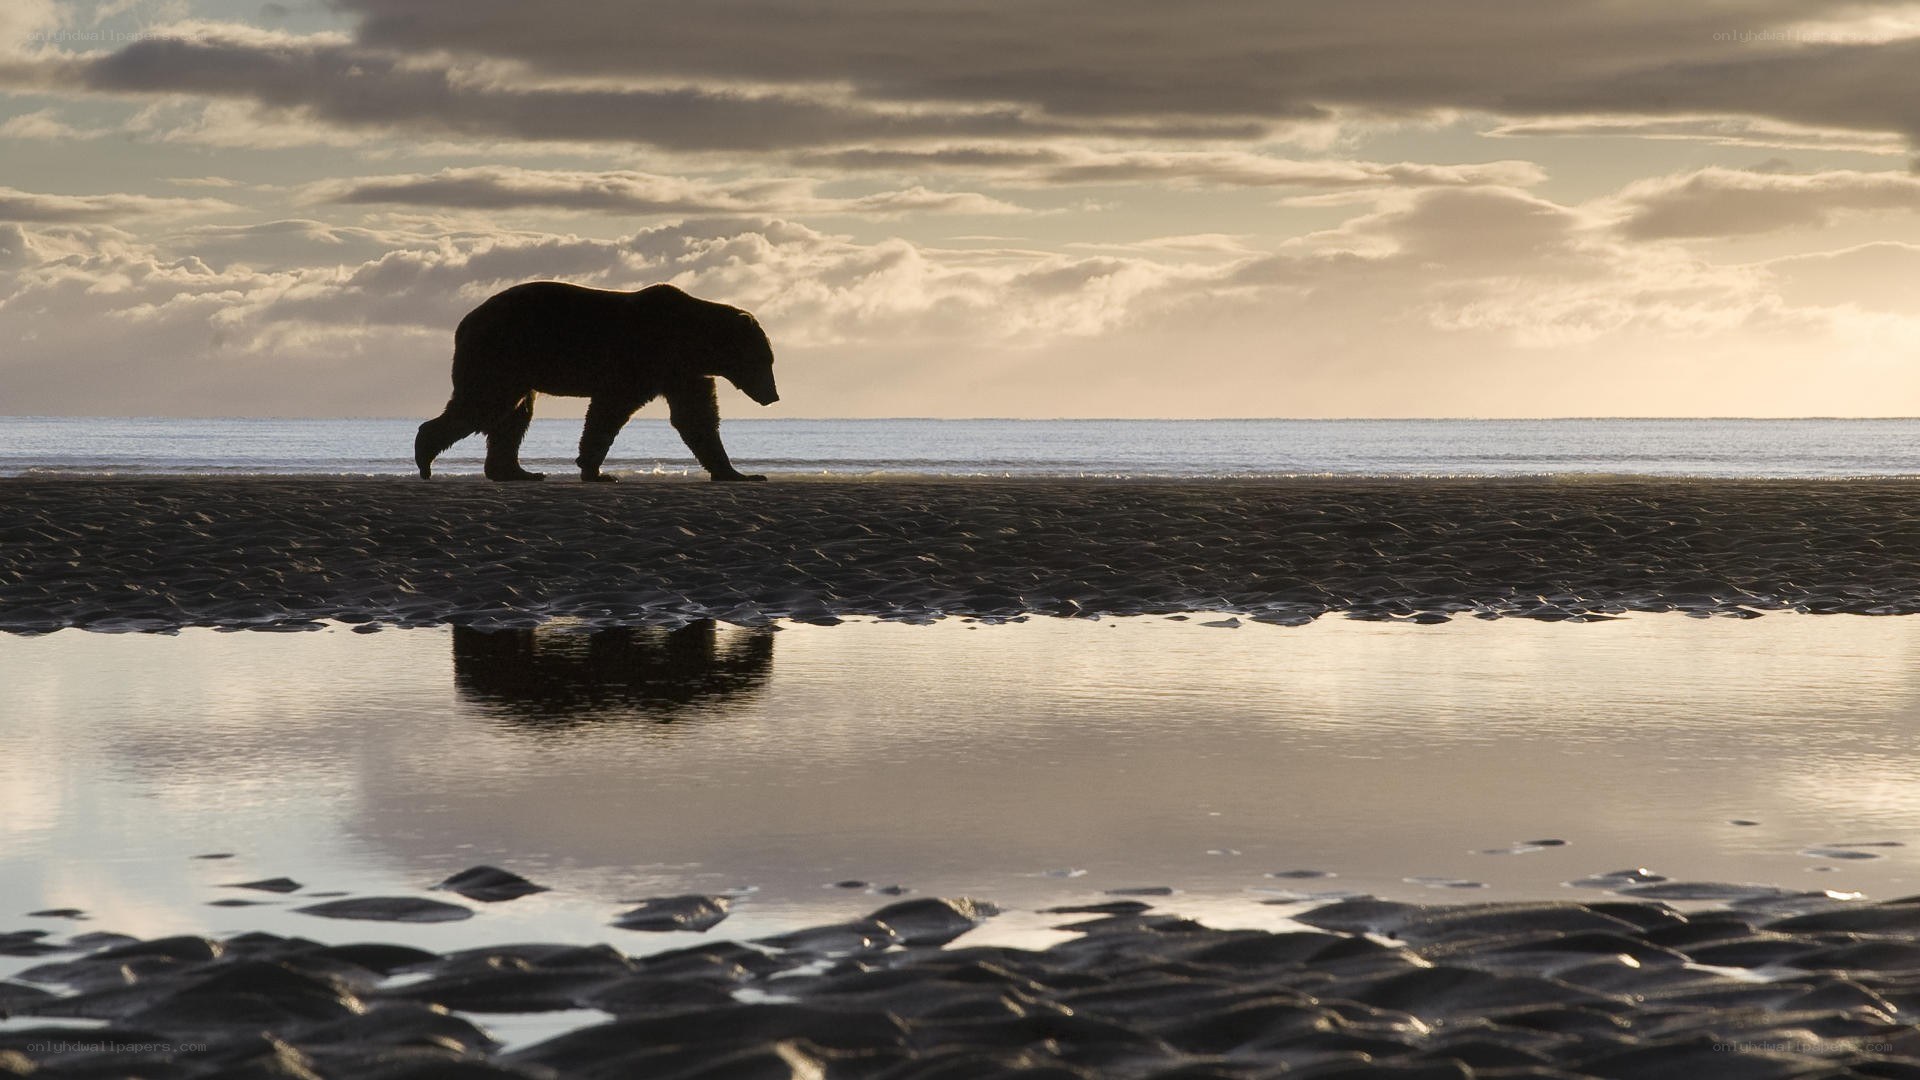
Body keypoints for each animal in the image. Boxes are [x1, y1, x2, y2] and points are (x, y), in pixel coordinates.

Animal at [415, 281, 779, 482]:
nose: (773, 396)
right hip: (501, 353)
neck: (690, 341)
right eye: (764, 360)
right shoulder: (641, 358)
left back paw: (517, 472)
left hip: (515, 366)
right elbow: (610, 409)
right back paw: (425, 456)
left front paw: (739, 473)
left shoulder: (682, 373)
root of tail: (464, 322)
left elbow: (697, 419)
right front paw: (598, 471)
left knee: (514, 416)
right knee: (485, 404)